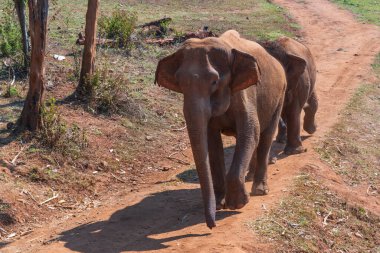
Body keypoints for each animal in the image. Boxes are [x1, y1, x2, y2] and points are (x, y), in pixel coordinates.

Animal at [154, 30, 284, 229]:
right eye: (179, 83)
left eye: (214, 81)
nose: (212, 225)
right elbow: (212, 142)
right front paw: (220, 203)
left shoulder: (244, 93)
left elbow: (250, 131)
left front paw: (236, 204)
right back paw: (249, 177)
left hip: (280, 95)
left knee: (266, 136)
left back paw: (259, 190)